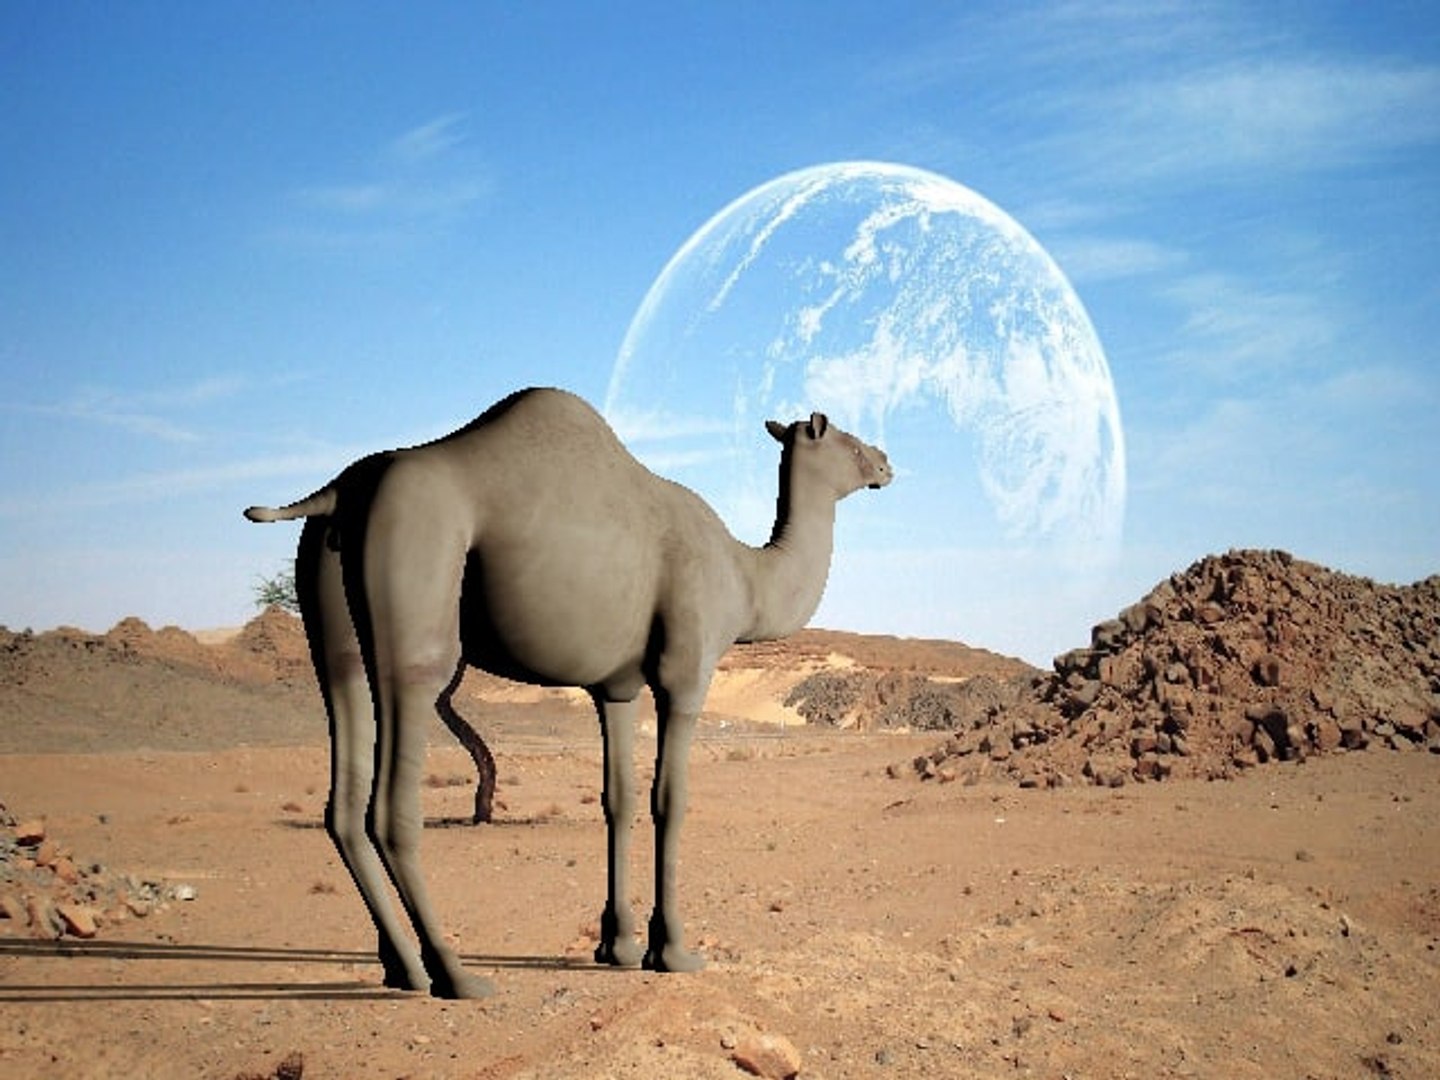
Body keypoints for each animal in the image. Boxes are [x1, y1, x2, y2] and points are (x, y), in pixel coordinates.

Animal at [243, 386, 891, 998]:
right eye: (851, 444)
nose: (887, 463)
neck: (746, 577)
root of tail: (338, 491)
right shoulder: (686, 671)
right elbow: (669, 799)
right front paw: (673, 952)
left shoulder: (617, 687)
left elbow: (618, 799)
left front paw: (619, 946)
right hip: (416, 583)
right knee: (393, 791)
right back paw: (455, 975)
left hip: (332, 624)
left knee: (344, 783)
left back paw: (404, 968)